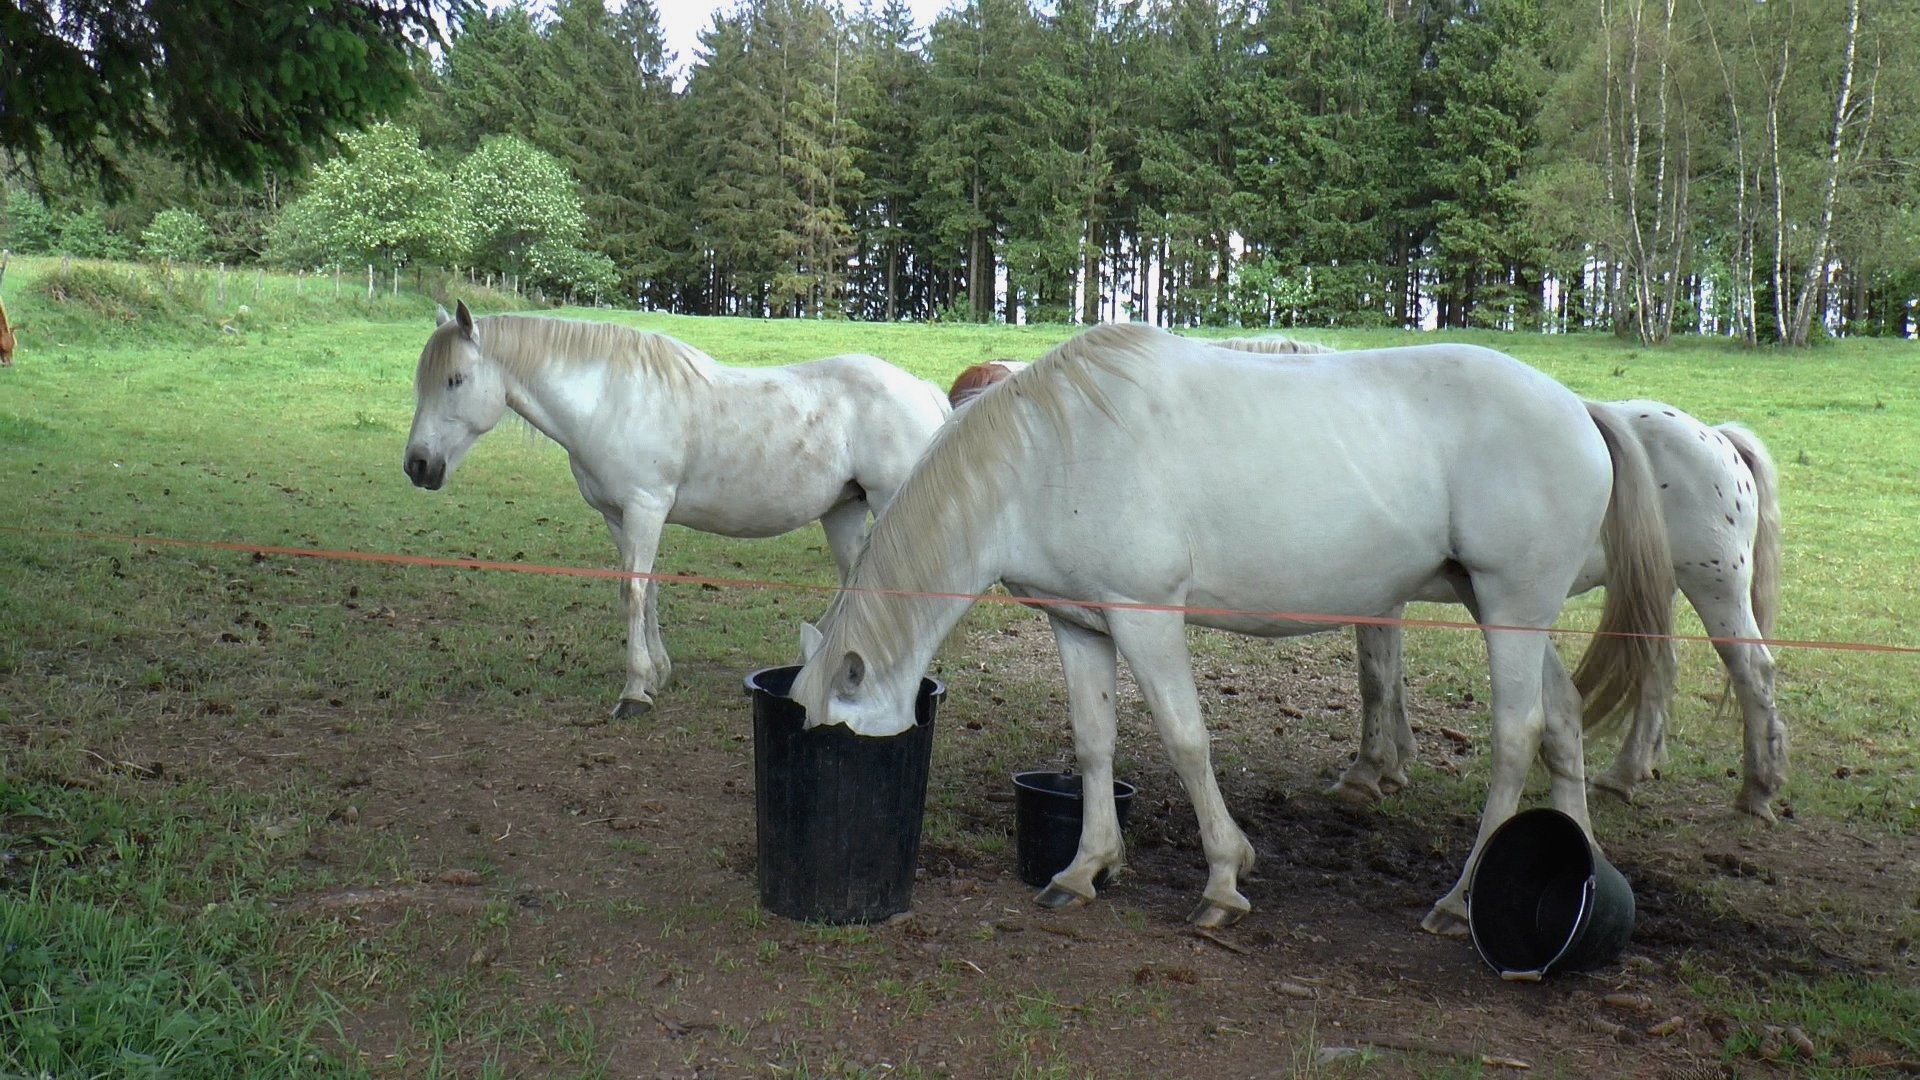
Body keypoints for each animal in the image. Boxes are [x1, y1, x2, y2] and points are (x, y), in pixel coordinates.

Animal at [407, 299, 952, 714]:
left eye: (455, 379)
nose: (417, 465)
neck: (608, 400)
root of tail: (923, 389)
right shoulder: (619, 517)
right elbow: (644, 590)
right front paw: (657, 674)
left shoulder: (645, 508)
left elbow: (633, 590)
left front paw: (633, 692)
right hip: (843, 512)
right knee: (853, 580)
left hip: (891, 503)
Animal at [787, 320, 1674, 933]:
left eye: (843, 740)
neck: (1045, 458)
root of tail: (1579, 408)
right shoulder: (1080, 627)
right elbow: (1094, 743)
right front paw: (1084, 868)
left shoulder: (1146, 619)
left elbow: (1186, 740)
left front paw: (1223, 879)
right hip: (1509, 612)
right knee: (1561, 720)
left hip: (1512, 611)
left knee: (1517, 736)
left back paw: (1460, 901)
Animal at [1336, 403, 1781, 814]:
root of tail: (1719, 438)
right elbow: (1391, 678)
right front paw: (1394, 762)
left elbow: (1376, 679)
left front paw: (1368, 770)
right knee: (1658, 669)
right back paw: (1623, 776)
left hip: (1717, 588)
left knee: (1753, 670)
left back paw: (1758, 790)